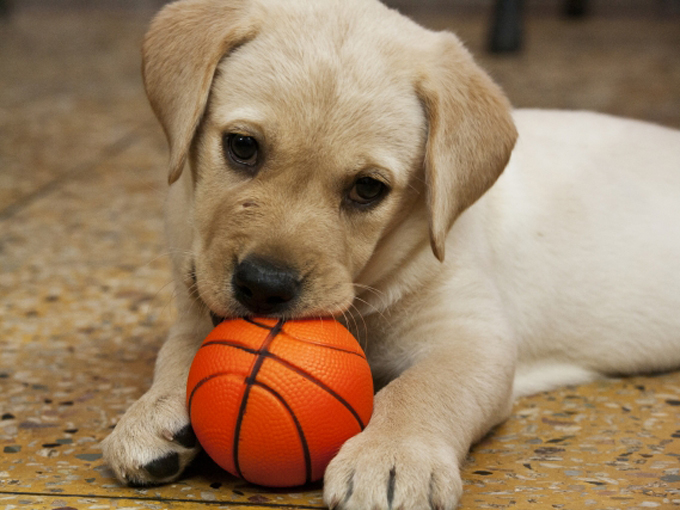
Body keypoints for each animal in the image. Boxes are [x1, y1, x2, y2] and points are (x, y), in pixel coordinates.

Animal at [101, 0, 680, 506]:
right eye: (242, 146)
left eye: (368, 189)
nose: (264, 286)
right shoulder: (196, 288)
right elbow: (182, 350)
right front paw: (154, 412)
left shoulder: (472, 336)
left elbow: (421, 387)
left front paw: (393, 456)